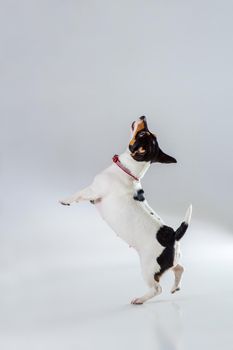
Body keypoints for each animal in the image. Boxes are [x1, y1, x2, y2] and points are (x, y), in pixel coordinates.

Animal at [59, 117, 191, 304]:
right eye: (150, 133)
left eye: (142, 134)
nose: (143, 117)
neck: (128, 170)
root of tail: (174, 236)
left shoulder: (93, 190)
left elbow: (78, 193)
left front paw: (65, 200)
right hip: (168, 263)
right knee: (180, 268)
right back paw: (175, 287)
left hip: (148, 268)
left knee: (157, 289)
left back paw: (140, 299)